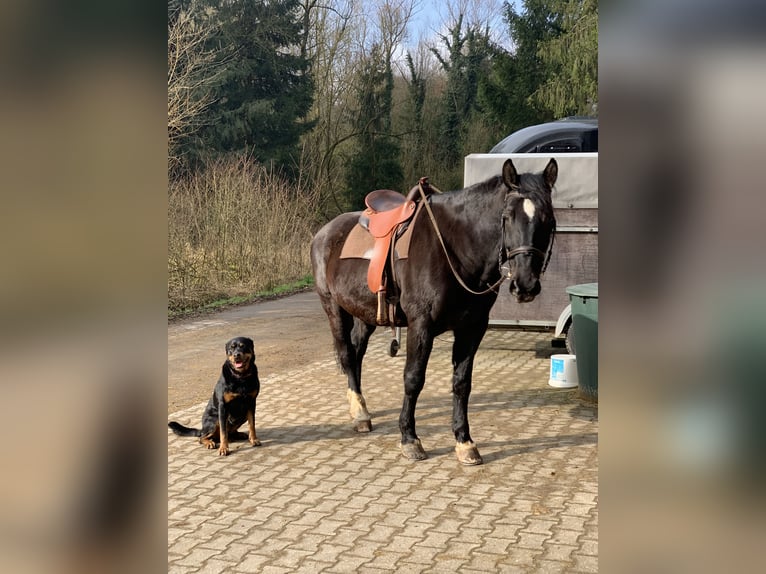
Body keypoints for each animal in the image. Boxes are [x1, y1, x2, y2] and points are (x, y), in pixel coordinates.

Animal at [312, 160, 560, 466]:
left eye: (549, 219)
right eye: (508, 217)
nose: (525, 284)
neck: (455, 248)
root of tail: (325, 232)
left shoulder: (472, 328)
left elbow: (462, 383)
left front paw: (464, 442)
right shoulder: (421, 325)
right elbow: (413, 379)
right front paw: (410, 439)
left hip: (365, 313)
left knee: (357, 354)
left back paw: (362, 409)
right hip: (333, 307)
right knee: (348, 354)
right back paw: (359, 414)